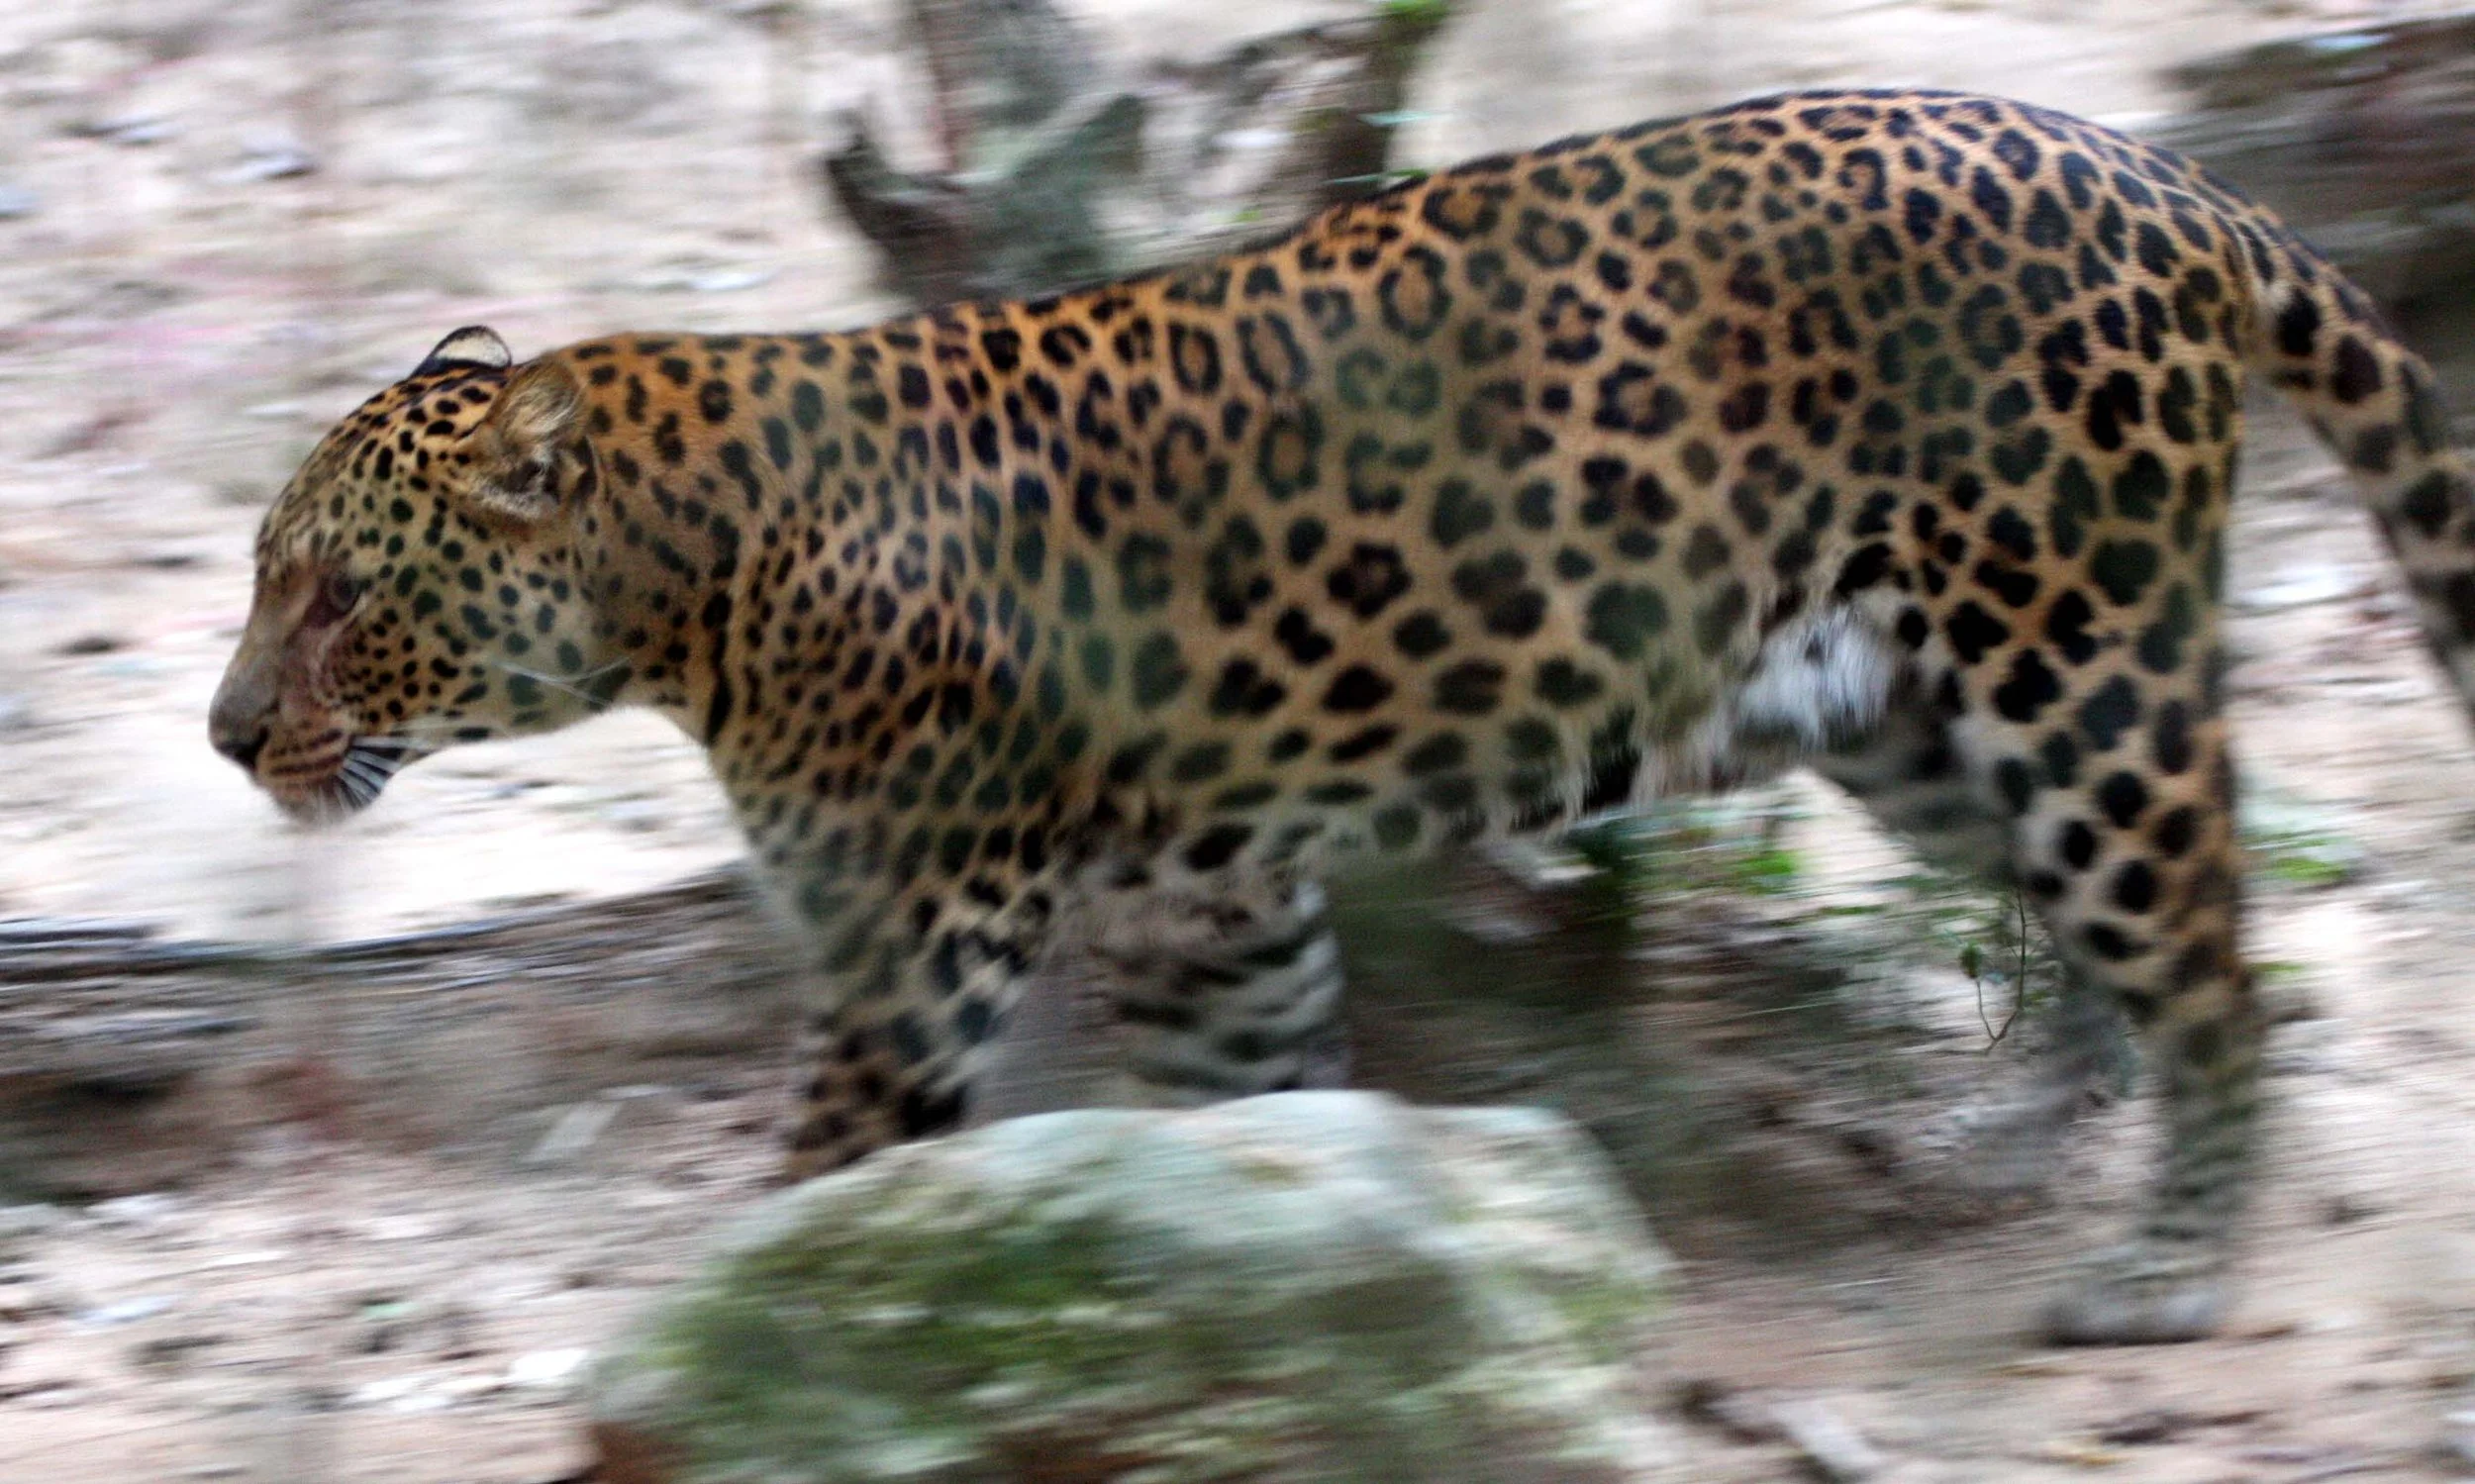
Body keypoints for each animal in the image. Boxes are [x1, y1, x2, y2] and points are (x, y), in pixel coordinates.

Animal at [209, 88, 2475, 1345]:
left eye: (338, 591)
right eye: (263, 572)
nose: (228, 738)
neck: (690, 578)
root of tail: (2159, 175)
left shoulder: (917, 939)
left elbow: (818, 1176)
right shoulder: (1210, 905)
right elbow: (1259, 1118)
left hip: (2064, 655)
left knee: (2208, 952)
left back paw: (2168, 1269)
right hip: (1902, 710)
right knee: (2119, 938)